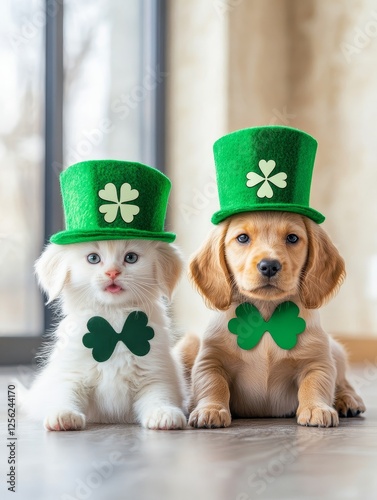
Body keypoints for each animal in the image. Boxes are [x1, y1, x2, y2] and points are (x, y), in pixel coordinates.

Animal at [22, 238, 187, 430]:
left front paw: (164, 413)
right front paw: (64, 414)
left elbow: (159, 396)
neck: (114, 327)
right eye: (93, 258)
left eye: (131, 257)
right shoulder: (71, 374)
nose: (112, 272)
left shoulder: (155, 376)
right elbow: (65, 394)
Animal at [182, 213, 364, 428]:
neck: (266, 316)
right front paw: (210, 409)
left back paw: (348, 400)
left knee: (343, 381)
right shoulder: (210, 360)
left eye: (292, 238)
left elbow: (314, 384)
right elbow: (213, 384)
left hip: (335, 349)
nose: (269, 266)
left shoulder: (316, 361)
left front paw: (316, 408)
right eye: (242, 238)